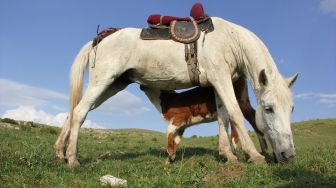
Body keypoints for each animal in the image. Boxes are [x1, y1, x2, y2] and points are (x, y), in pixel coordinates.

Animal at [55, 16, 300, 167]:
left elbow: (223, 117)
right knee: (80, 113)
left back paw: (59, 152)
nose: (289, 156)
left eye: (291, 109)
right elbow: (235, 114)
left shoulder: (218, 83)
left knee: (73, 112)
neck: (231, 40)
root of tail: (99, 39)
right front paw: (254, 155)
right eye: (268, 109)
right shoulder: (221, 78)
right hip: (103, 82)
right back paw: (72, 159)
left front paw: (228, 154)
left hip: (112, 85)